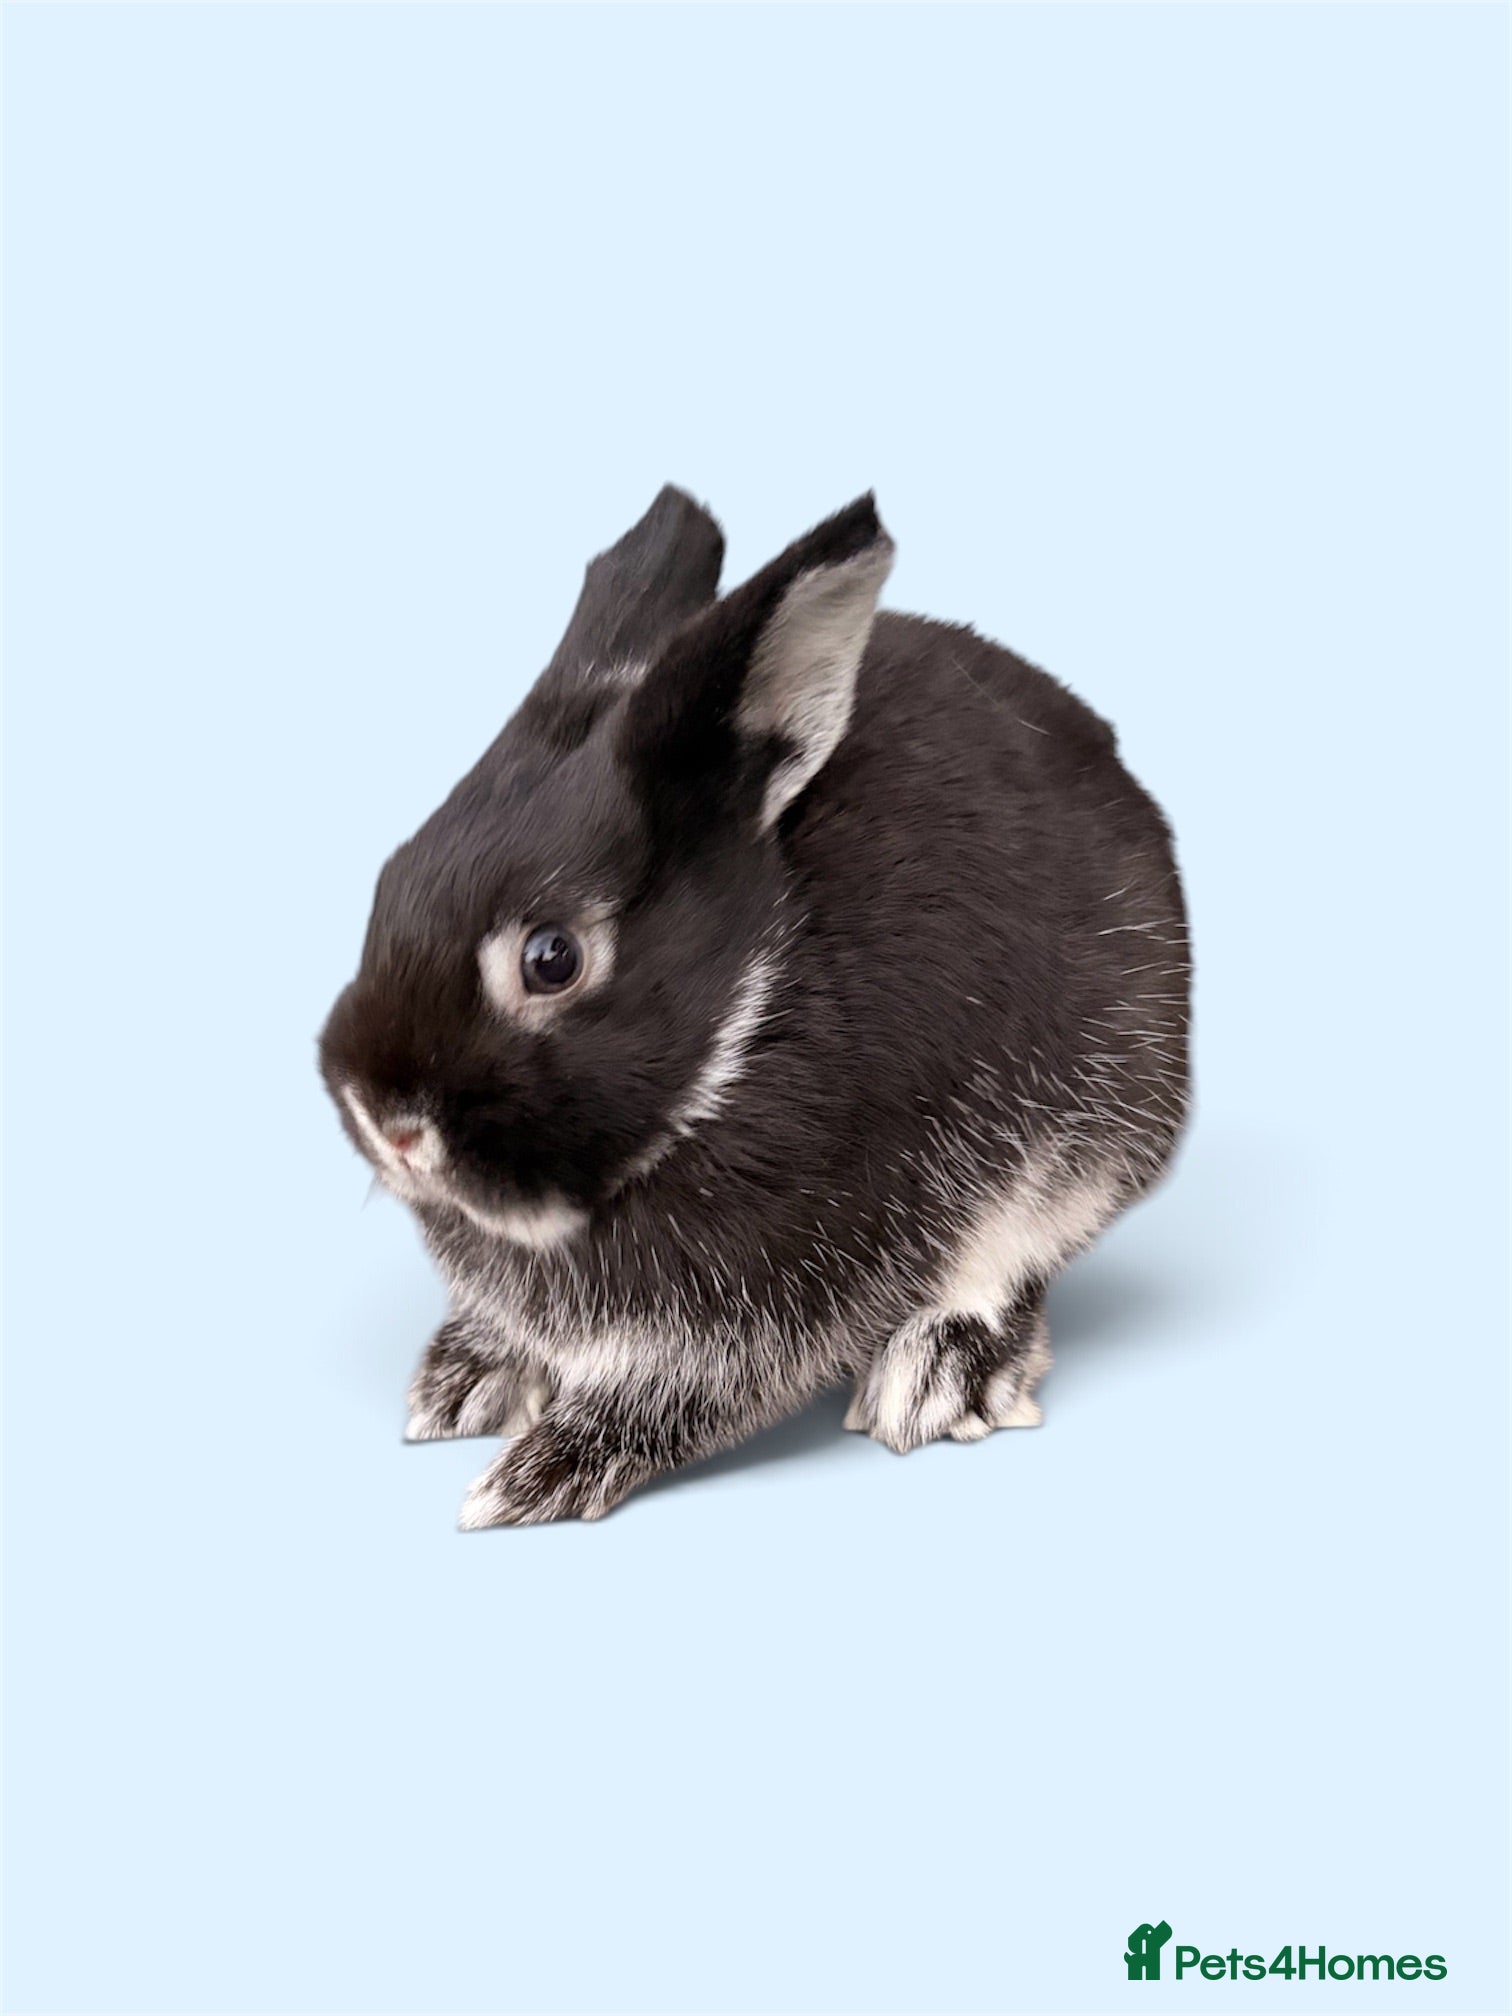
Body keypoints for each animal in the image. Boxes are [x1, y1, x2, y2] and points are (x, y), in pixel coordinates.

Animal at [319, 486, 1190, 1526]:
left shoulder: (790, 1281)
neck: (744, 1024)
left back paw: (942, 1372)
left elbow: (689, 1389)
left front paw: (542, 1473)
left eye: (551, 958)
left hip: (1092, 1127)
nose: (385, 1118)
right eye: (391, 878)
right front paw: (470, 1375)